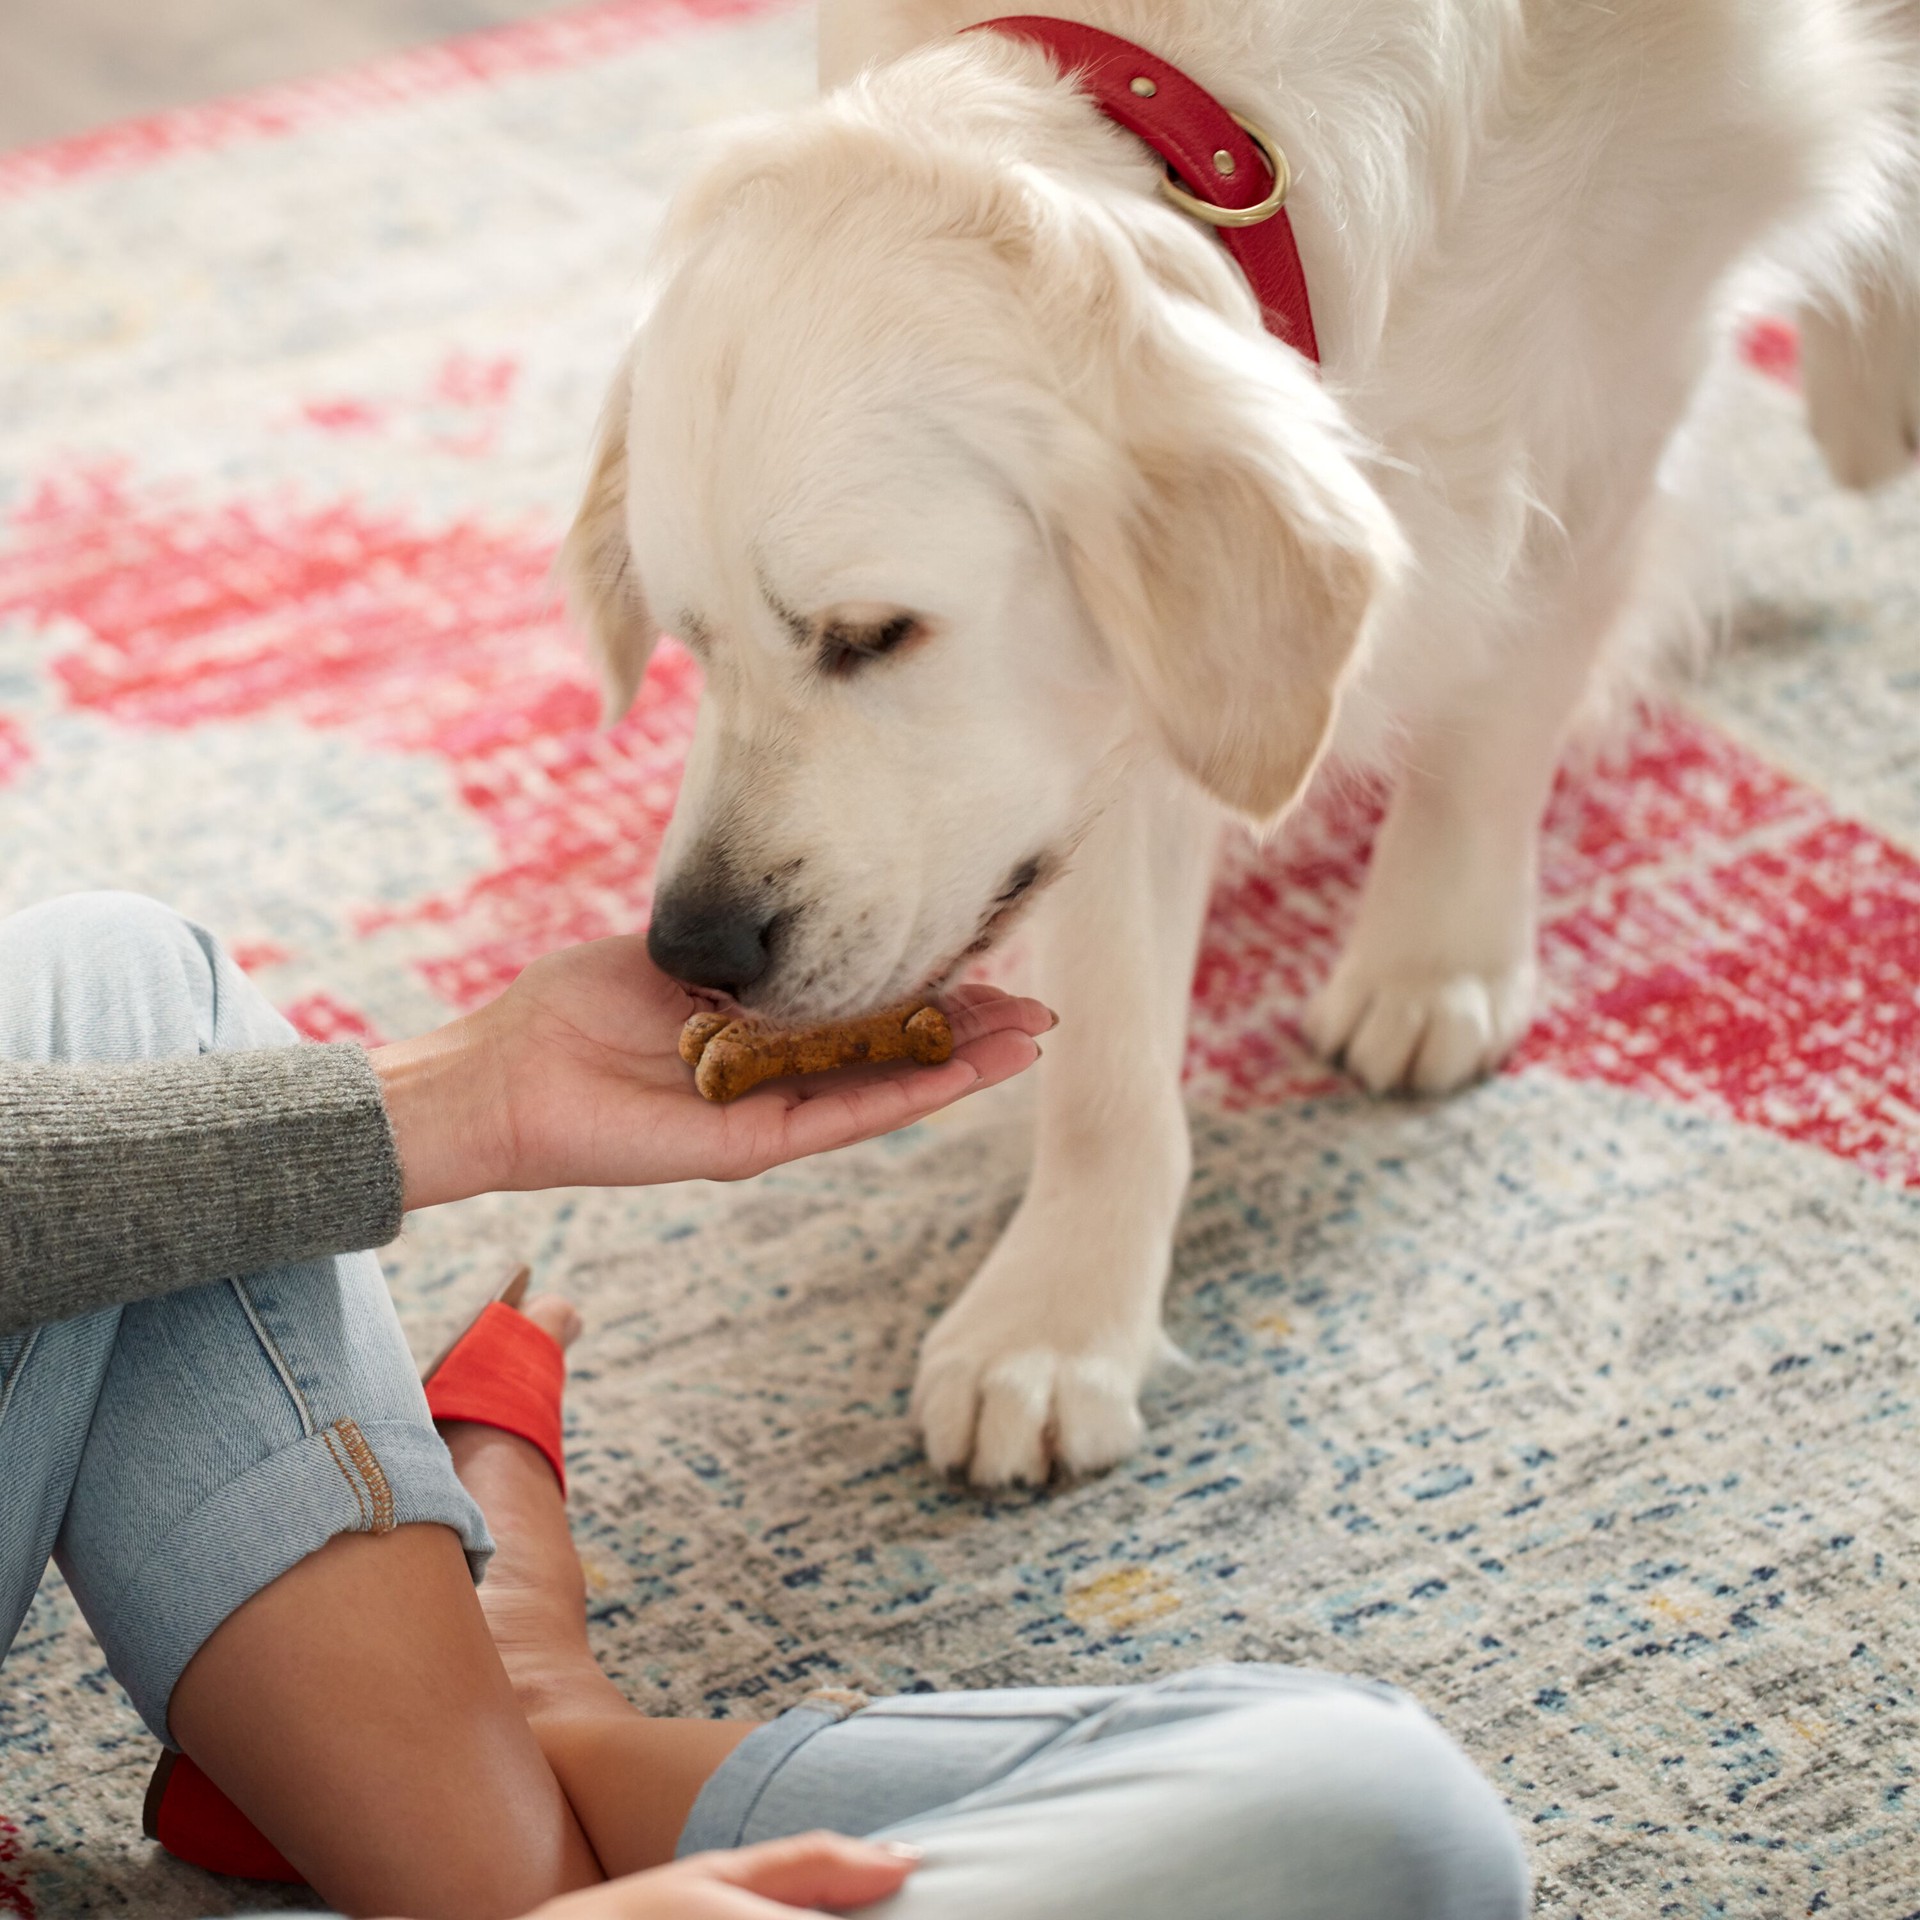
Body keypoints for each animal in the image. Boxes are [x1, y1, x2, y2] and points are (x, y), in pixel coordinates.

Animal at [560, 0, 1912, 1482]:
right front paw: (1061, 1313)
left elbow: (1497, 712)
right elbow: (1107, 1047)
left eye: (874, 634)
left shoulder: (1616, 371)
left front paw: (1433, 960)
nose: (692, 949)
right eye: (688, 640)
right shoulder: (1110, 728)